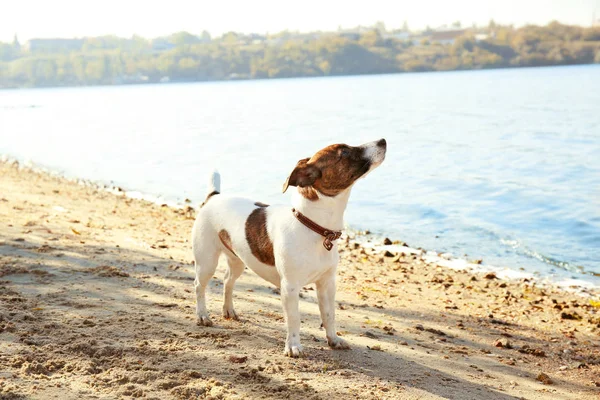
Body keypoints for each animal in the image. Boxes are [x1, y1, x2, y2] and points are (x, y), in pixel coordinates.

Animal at [193, 139, 390, 358]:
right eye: (345, 152)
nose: (382, 140)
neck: (314, 227)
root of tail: (214, 197)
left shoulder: (327, 284)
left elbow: (329, 315)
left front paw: (333, 339)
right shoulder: (290, 287)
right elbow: (294, 318)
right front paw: (294, 346)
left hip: (238, 260)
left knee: (228, 281)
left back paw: (228, 310)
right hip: (207, 262)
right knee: (199, 286)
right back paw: (202, 316)